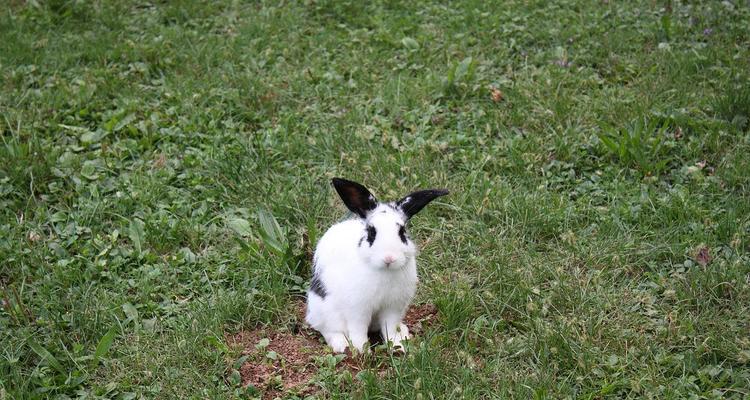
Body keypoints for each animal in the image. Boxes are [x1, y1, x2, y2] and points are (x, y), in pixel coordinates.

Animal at [304, 177, 450, 352]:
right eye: (372, 232)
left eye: (402, 232)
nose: (389, 258)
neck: (385, 271)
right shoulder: (358, 309)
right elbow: (358, 329)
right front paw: (362, 350)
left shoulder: (393, 307)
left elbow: (390, 327)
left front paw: (397, 345)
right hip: (325, 311)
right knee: (329, 330)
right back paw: (342, 345)